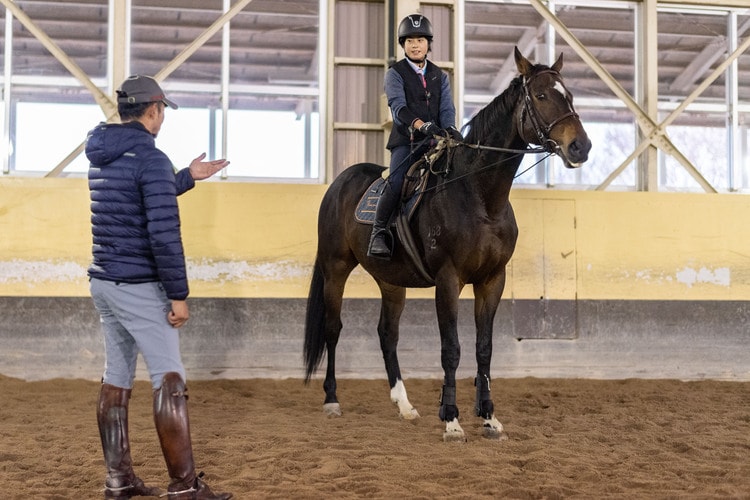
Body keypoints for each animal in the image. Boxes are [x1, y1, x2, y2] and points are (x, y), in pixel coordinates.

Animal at [303, 47, 591, 442]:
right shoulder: (448, 280)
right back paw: (332, 400)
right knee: (333, 329)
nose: (581, 146)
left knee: (387, 335)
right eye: (542, 95)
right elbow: (451, 348)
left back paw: (405, 406)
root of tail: (340, 182)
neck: (481, 197)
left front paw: (488, 416)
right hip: (336, 268)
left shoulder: (492, 280)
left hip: (391, 281)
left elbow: (484, 348)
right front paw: (451, 419)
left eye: (571, 95)